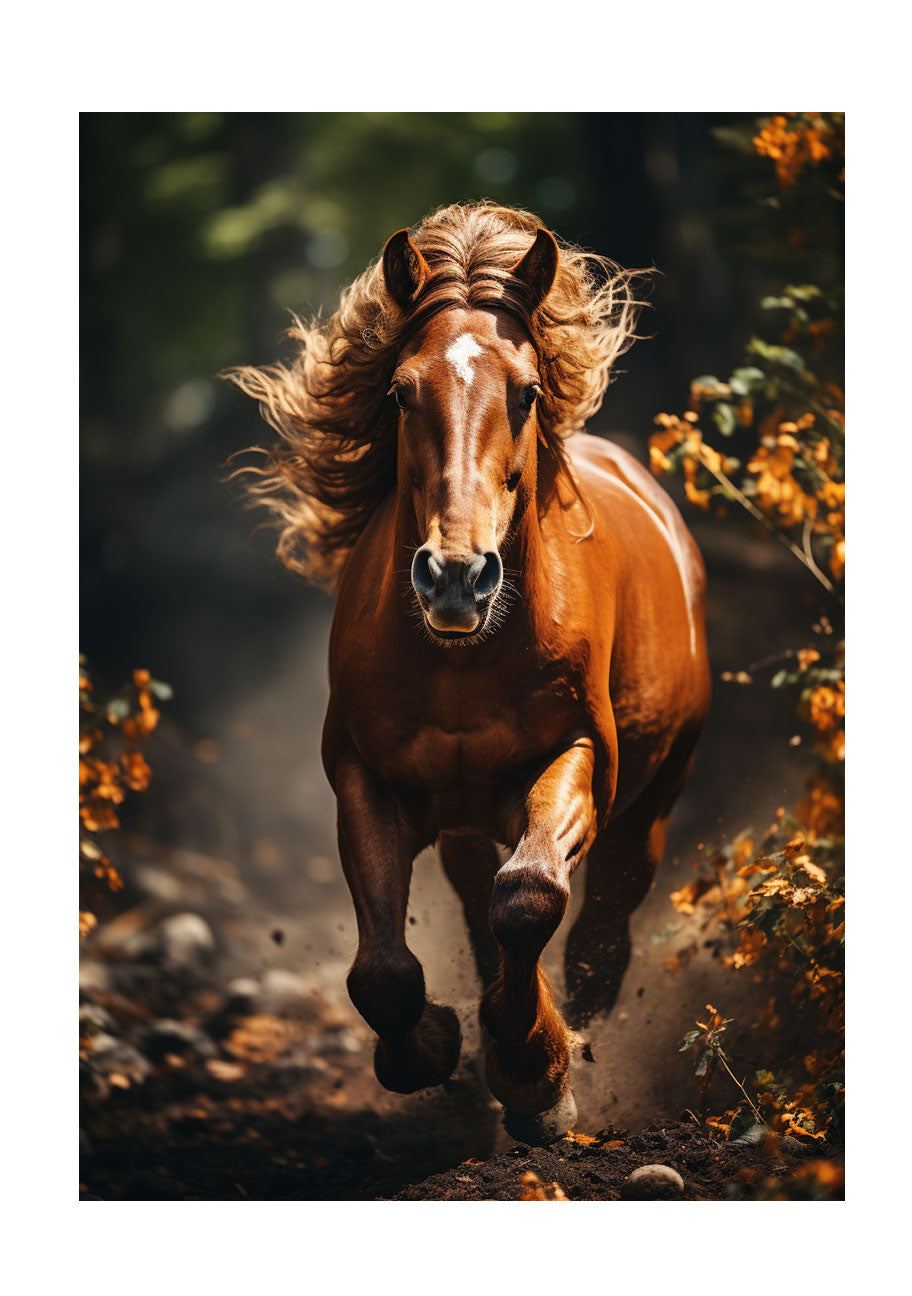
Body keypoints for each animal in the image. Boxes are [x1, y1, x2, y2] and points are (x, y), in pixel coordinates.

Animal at [229, 201, 711, 1141]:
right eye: (400, 391)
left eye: (525, 392)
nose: (456, 576)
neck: (463, 657)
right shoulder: (365, 778)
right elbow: (384, 970)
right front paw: (435, 1045)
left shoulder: (579, 761)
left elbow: (527, 897)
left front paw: (537, 1075)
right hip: (462, 822)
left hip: (652, 801)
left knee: (599, 930)